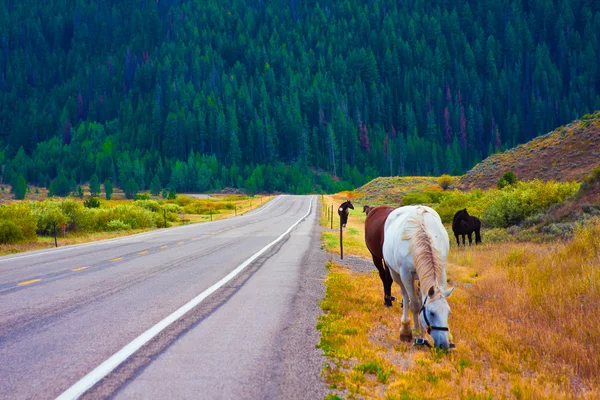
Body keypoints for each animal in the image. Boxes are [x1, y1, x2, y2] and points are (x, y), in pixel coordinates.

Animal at [384, 205, 454, 348]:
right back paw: (405, 330)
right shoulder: (405, 274)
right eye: (432, 313)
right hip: (396, 274)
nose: (444, 345)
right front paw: (418, 336)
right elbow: (415, 305)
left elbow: (422, 302)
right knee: (406, 297)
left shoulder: (440, 271)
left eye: (448, 313)